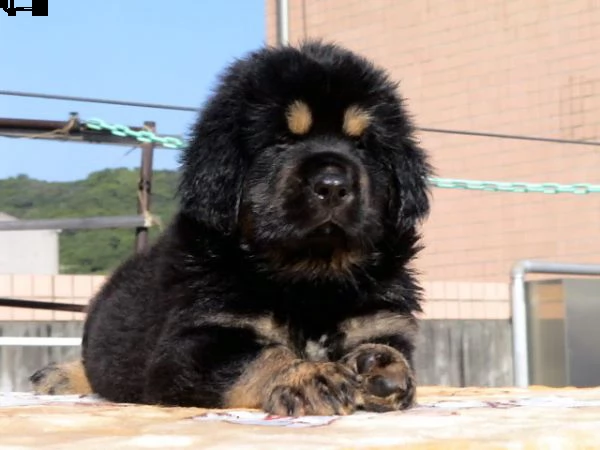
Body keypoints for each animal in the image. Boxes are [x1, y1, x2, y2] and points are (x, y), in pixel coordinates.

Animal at [30, 40, 432, 416]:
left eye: (362, 145)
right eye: (281, 141)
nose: (333, 185)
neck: (310, 277)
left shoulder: (381, 320)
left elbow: (389, 347)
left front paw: (383, 366)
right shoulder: (192, 344)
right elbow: (258, 357)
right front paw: (307, 375)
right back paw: (58, 375)